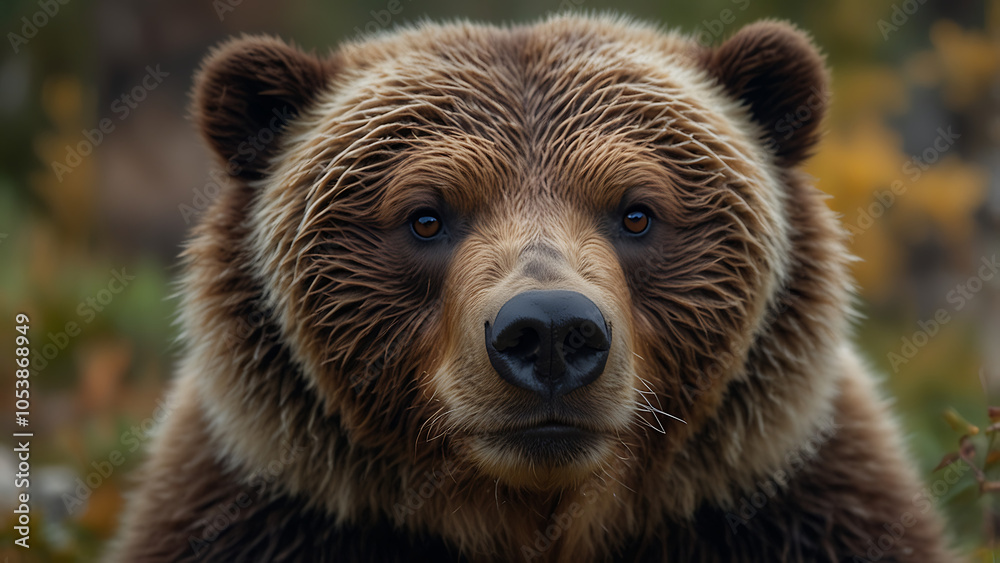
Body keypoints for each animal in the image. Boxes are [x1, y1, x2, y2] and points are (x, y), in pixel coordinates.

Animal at [109, 14, 954, 563]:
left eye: (637, 211)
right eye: (426, 215)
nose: (549, 332)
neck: (534, 518)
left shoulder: (798, 510)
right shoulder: (264, 516)